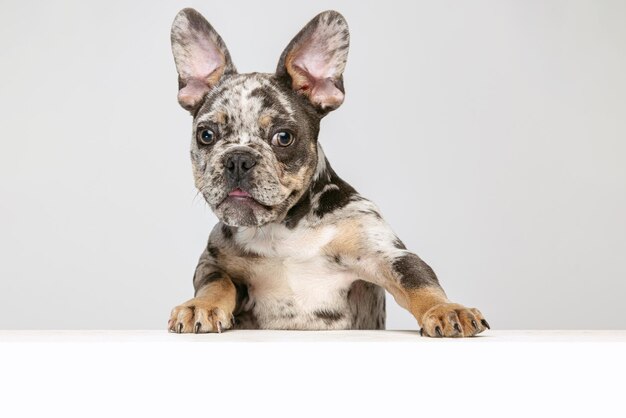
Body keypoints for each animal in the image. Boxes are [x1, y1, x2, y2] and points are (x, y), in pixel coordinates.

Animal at [166, 9, 488, 336]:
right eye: (206, 135)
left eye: (284, 137)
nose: (238, 159)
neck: (282, 230)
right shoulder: (213, 261)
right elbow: (216, 283)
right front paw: (200, 306)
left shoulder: (387, 254)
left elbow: (417, 280)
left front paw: (445, 309)